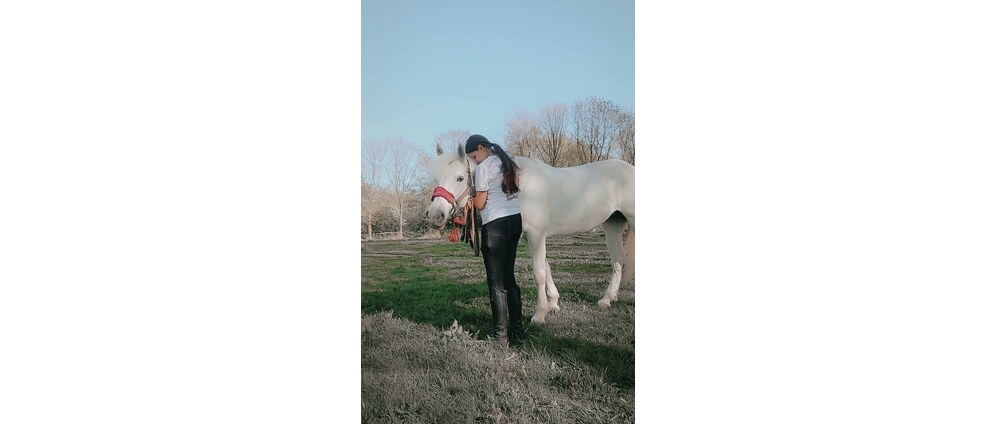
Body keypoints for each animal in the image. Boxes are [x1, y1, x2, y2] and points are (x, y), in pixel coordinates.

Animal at [425, 141, 635, 325]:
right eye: (436, 178)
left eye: (460, 178)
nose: (435, 215)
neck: (517, 188)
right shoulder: (528, 238)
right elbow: (546, 267)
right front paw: (553, 303)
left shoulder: (536, 235)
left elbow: (539, 273)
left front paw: (540, 314)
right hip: (612, 224)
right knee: (618, 260)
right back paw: (607, 299)